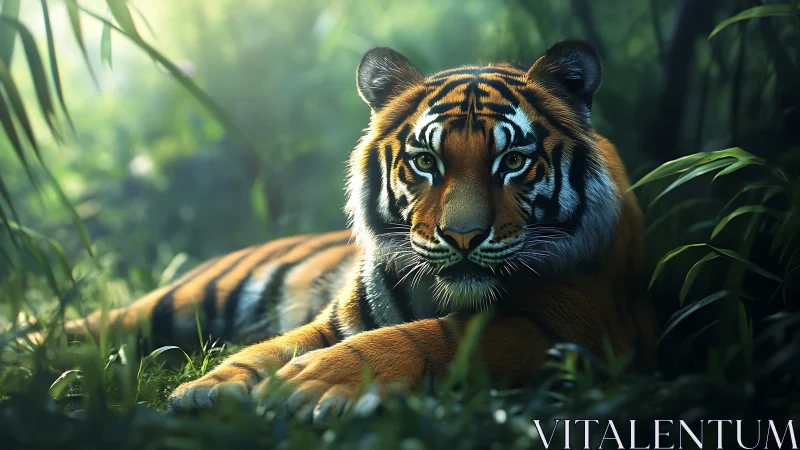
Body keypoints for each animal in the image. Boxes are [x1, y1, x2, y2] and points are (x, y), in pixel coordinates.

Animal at [48, 40, 656, 422]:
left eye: (512, 162)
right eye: (426, 161)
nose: (463, 237)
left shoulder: (576, 325)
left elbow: (433, 334)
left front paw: (312, 382)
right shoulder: (335, 319)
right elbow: (275, 345)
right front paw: (210, 386)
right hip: (182, 298)